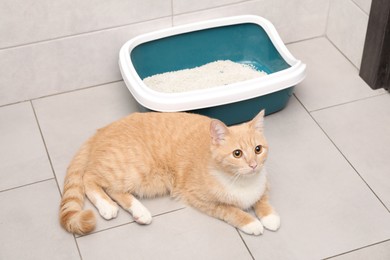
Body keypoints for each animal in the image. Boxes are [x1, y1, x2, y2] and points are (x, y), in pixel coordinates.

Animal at [59, 109, 280, 236]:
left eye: (258, 149)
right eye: (237, 153)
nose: (253, 165)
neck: (241, 181)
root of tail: (102, 129)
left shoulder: (263, 183)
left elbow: (262, 200)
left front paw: (269, 216)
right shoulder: (200, 199)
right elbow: (231, 210)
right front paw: (251, 223)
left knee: (115, 190)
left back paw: (140, 212)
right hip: (133, 170)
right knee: (89, 177)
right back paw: (107, 206)